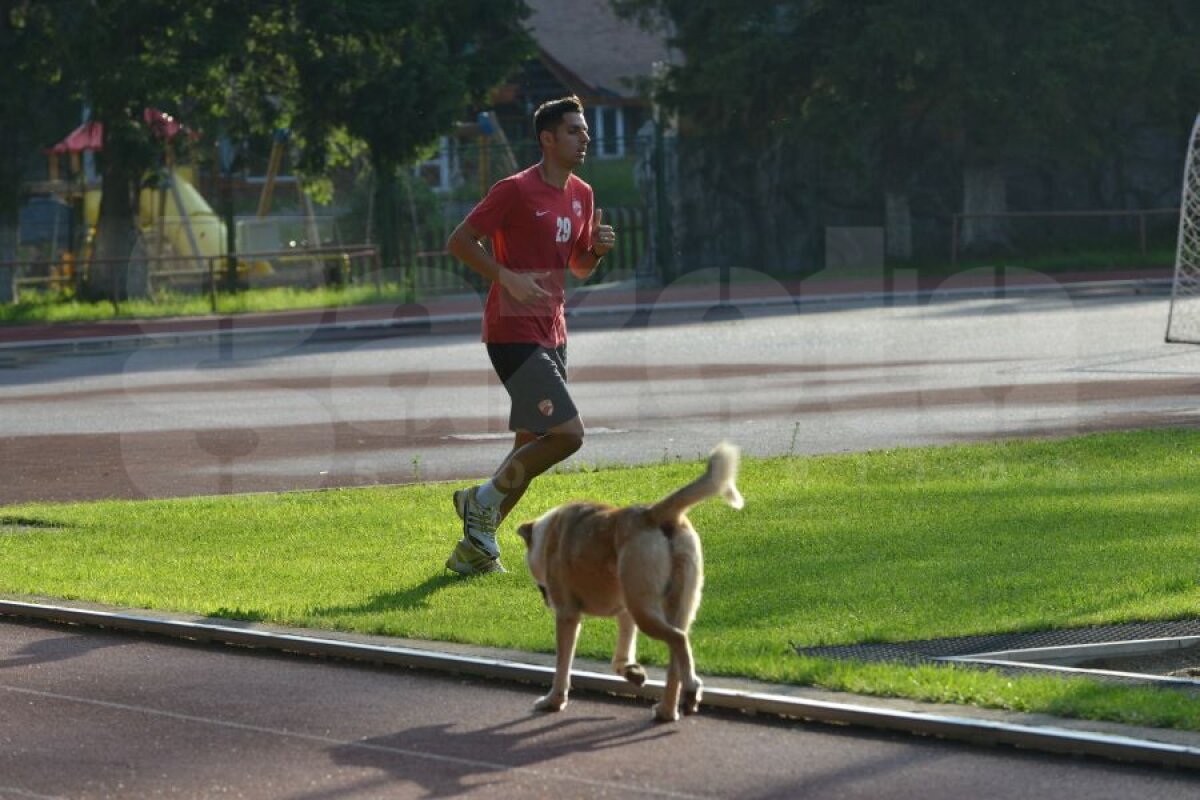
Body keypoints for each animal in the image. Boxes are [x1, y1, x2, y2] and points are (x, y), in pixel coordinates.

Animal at [516, 441, 739, 724]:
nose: (545, 601)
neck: (548, 534)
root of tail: (654, 514)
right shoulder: (625, 613)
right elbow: (620, 656)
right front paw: (632, 671)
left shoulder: (567, 615)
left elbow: (562, 665)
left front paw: (554, 700)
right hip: (670, 604)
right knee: (676, 656)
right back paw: (668, 710)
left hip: (644, 609)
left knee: (677, 639)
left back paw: (690, 688)